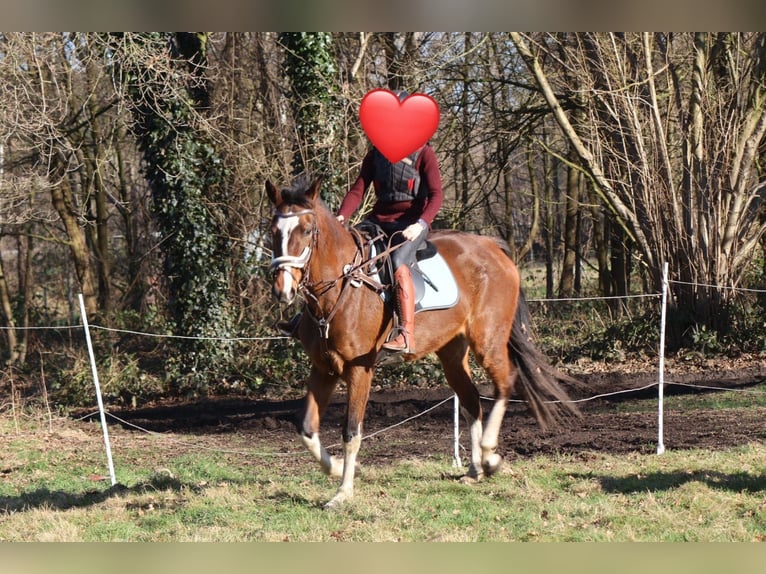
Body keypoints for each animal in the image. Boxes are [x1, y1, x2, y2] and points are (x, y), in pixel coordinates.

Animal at [268, 176, 580, 508]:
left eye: (306, 230)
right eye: (274, 230)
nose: (282, 289)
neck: (340, 289)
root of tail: (491, 247)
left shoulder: (359, 370)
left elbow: (351, 431)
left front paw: (342, 492)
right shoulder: (323, 369)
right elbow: (306, 429)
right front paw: (340, 469)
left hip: (487, 340)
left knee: (505, 381)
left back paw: (489, 455)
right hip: (452, 353)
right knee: (471, 401)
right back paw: (474, 469)